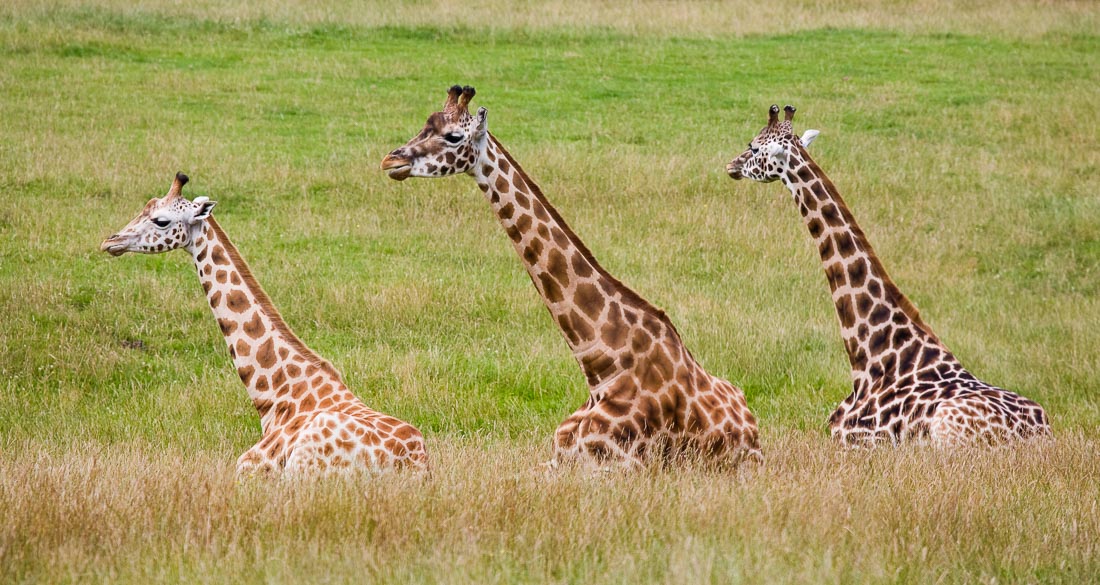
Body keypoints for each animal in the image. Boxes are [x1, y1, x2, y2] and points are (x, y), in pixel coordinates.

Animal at [382, 85, 761, 470]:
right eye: (424, 125)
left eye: (454, 136)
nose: (390, 161)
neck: (601, 368)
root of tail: (753, 427)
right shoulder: (556, 459)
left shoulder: (619, 466)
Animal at [726, 103, 1051, 448]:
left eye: (754, 147)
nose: (731, 165)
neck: (869, 355)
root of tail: (1039, 434)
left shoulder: (851, 439)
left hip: (947, 433)